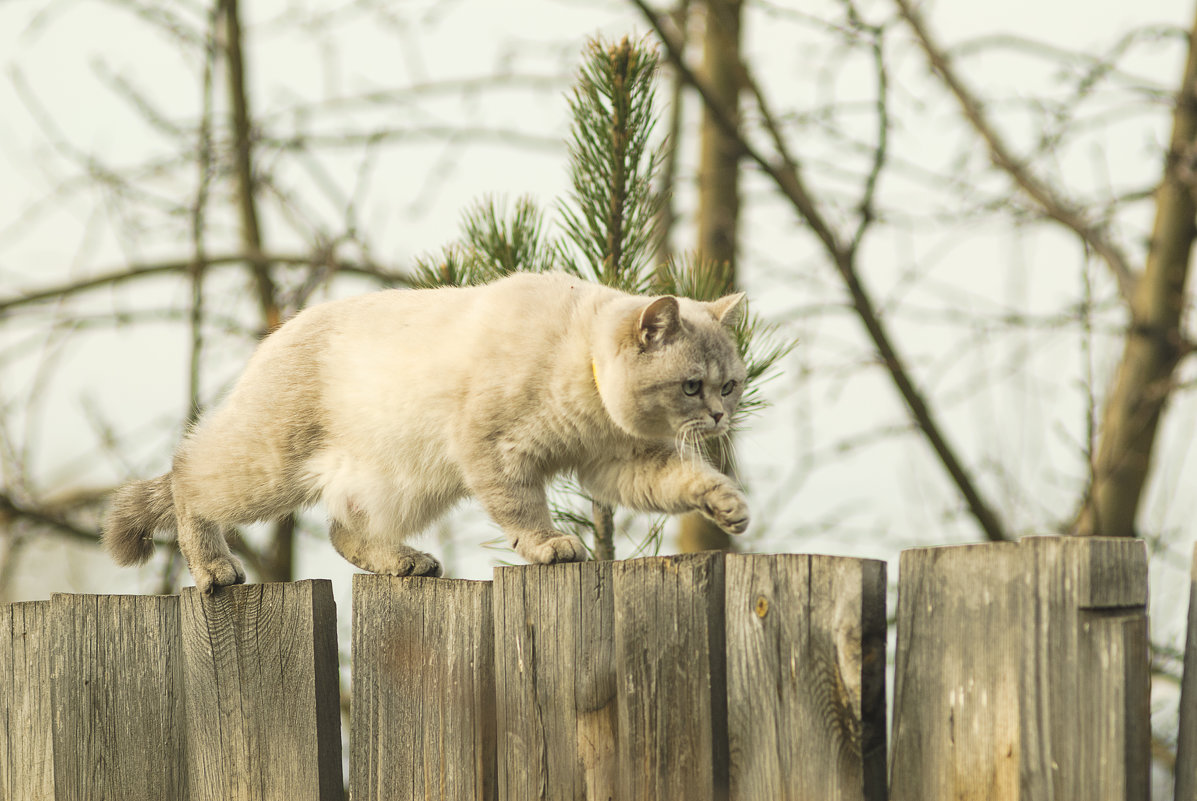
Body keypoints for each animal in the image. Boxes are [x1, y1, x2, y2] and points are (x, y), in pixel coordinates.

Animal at [107, 271, 751, 591]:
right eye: (692, 386)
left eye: (729, 386)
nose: (722, 417)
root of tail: (281, 331)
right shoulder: (499, 453)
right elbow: (525, 514)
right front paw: (551, 546)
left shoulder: (618, 463)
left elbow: (688, 481)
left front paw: (729, 507)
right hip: (270, 469)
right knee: (186, 475)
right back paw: (214, 569)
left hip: (409, 483)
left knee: (344, 529)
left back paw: (406, 563)